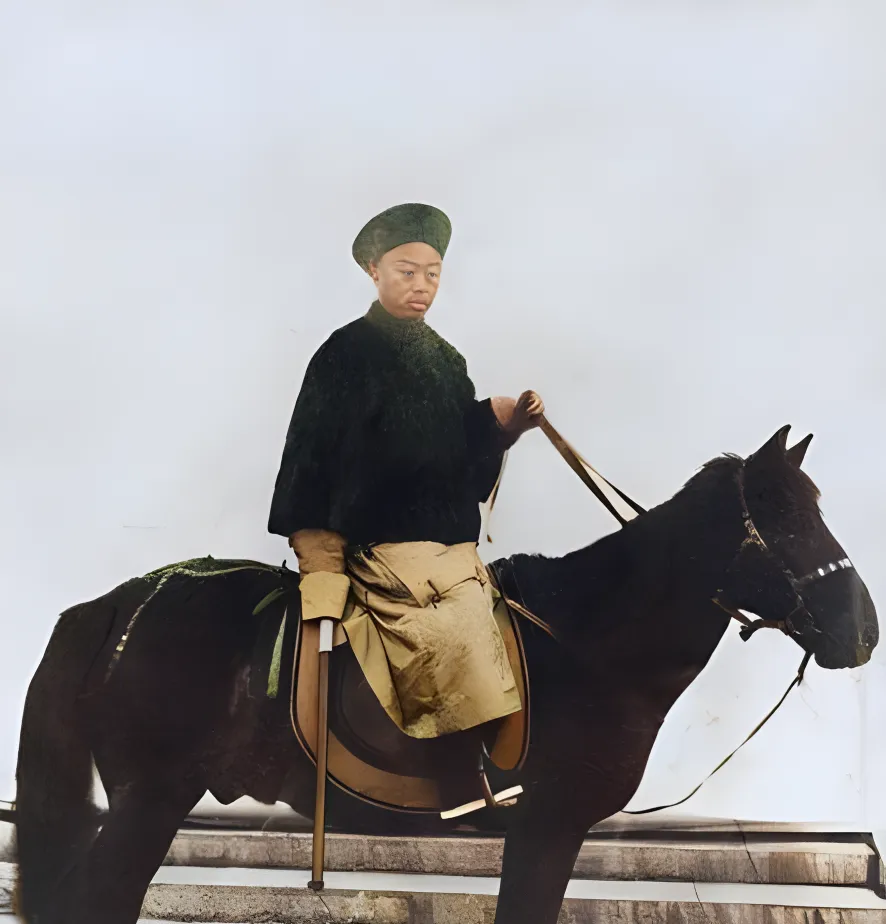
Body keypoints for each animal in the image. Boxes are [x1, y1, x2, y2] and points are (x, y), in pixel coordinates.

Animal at [12, 425, 878, 924]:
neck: (587, 643)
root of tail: (118, 604)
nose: (863, 629)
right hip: (149, 800)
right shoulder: (548, 823)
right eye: (784, 515)